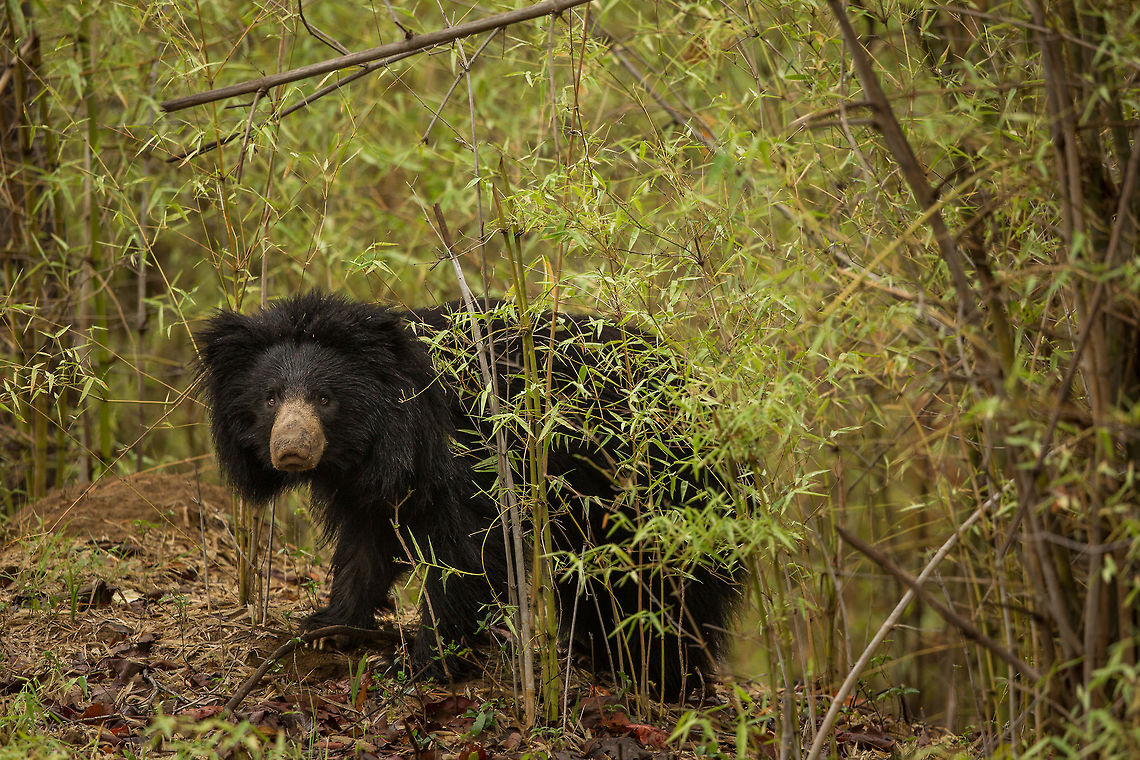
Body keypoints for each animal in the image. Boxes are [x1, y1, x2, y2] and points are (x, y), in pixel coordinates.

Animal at [196, 290, 738, 698]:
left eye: (324, 400)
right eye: (270, 398)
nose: (290, 448)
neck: (393, 432)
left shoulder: (476, 454)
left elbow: (468, 551)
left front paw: (419, 662)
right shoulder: (373, 480)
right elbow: (367, 546)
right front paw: (324, 630)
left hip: (664, 496)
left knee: (668, 591)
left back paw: (664, 675)